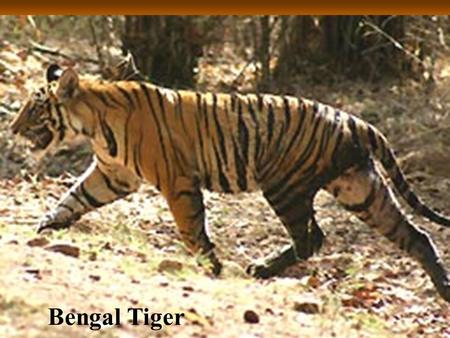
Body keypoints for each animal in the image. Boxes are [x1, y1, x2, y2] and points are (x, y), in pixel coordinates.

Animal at [10, 64, 450, 302]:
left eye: (34, 108)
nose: (12, 129)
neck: (92, 124)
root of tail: (355, 120)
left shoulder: (176, 181)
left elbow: (190, 228)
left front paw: (212, 266)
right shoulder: (113, 175)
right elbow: (74, 197)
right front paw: (45, 225)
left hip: (285, 185)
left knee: (311, 238)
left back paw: (262, 269)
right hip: (360, 188)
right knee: (415, 235)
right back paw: (444, 288)